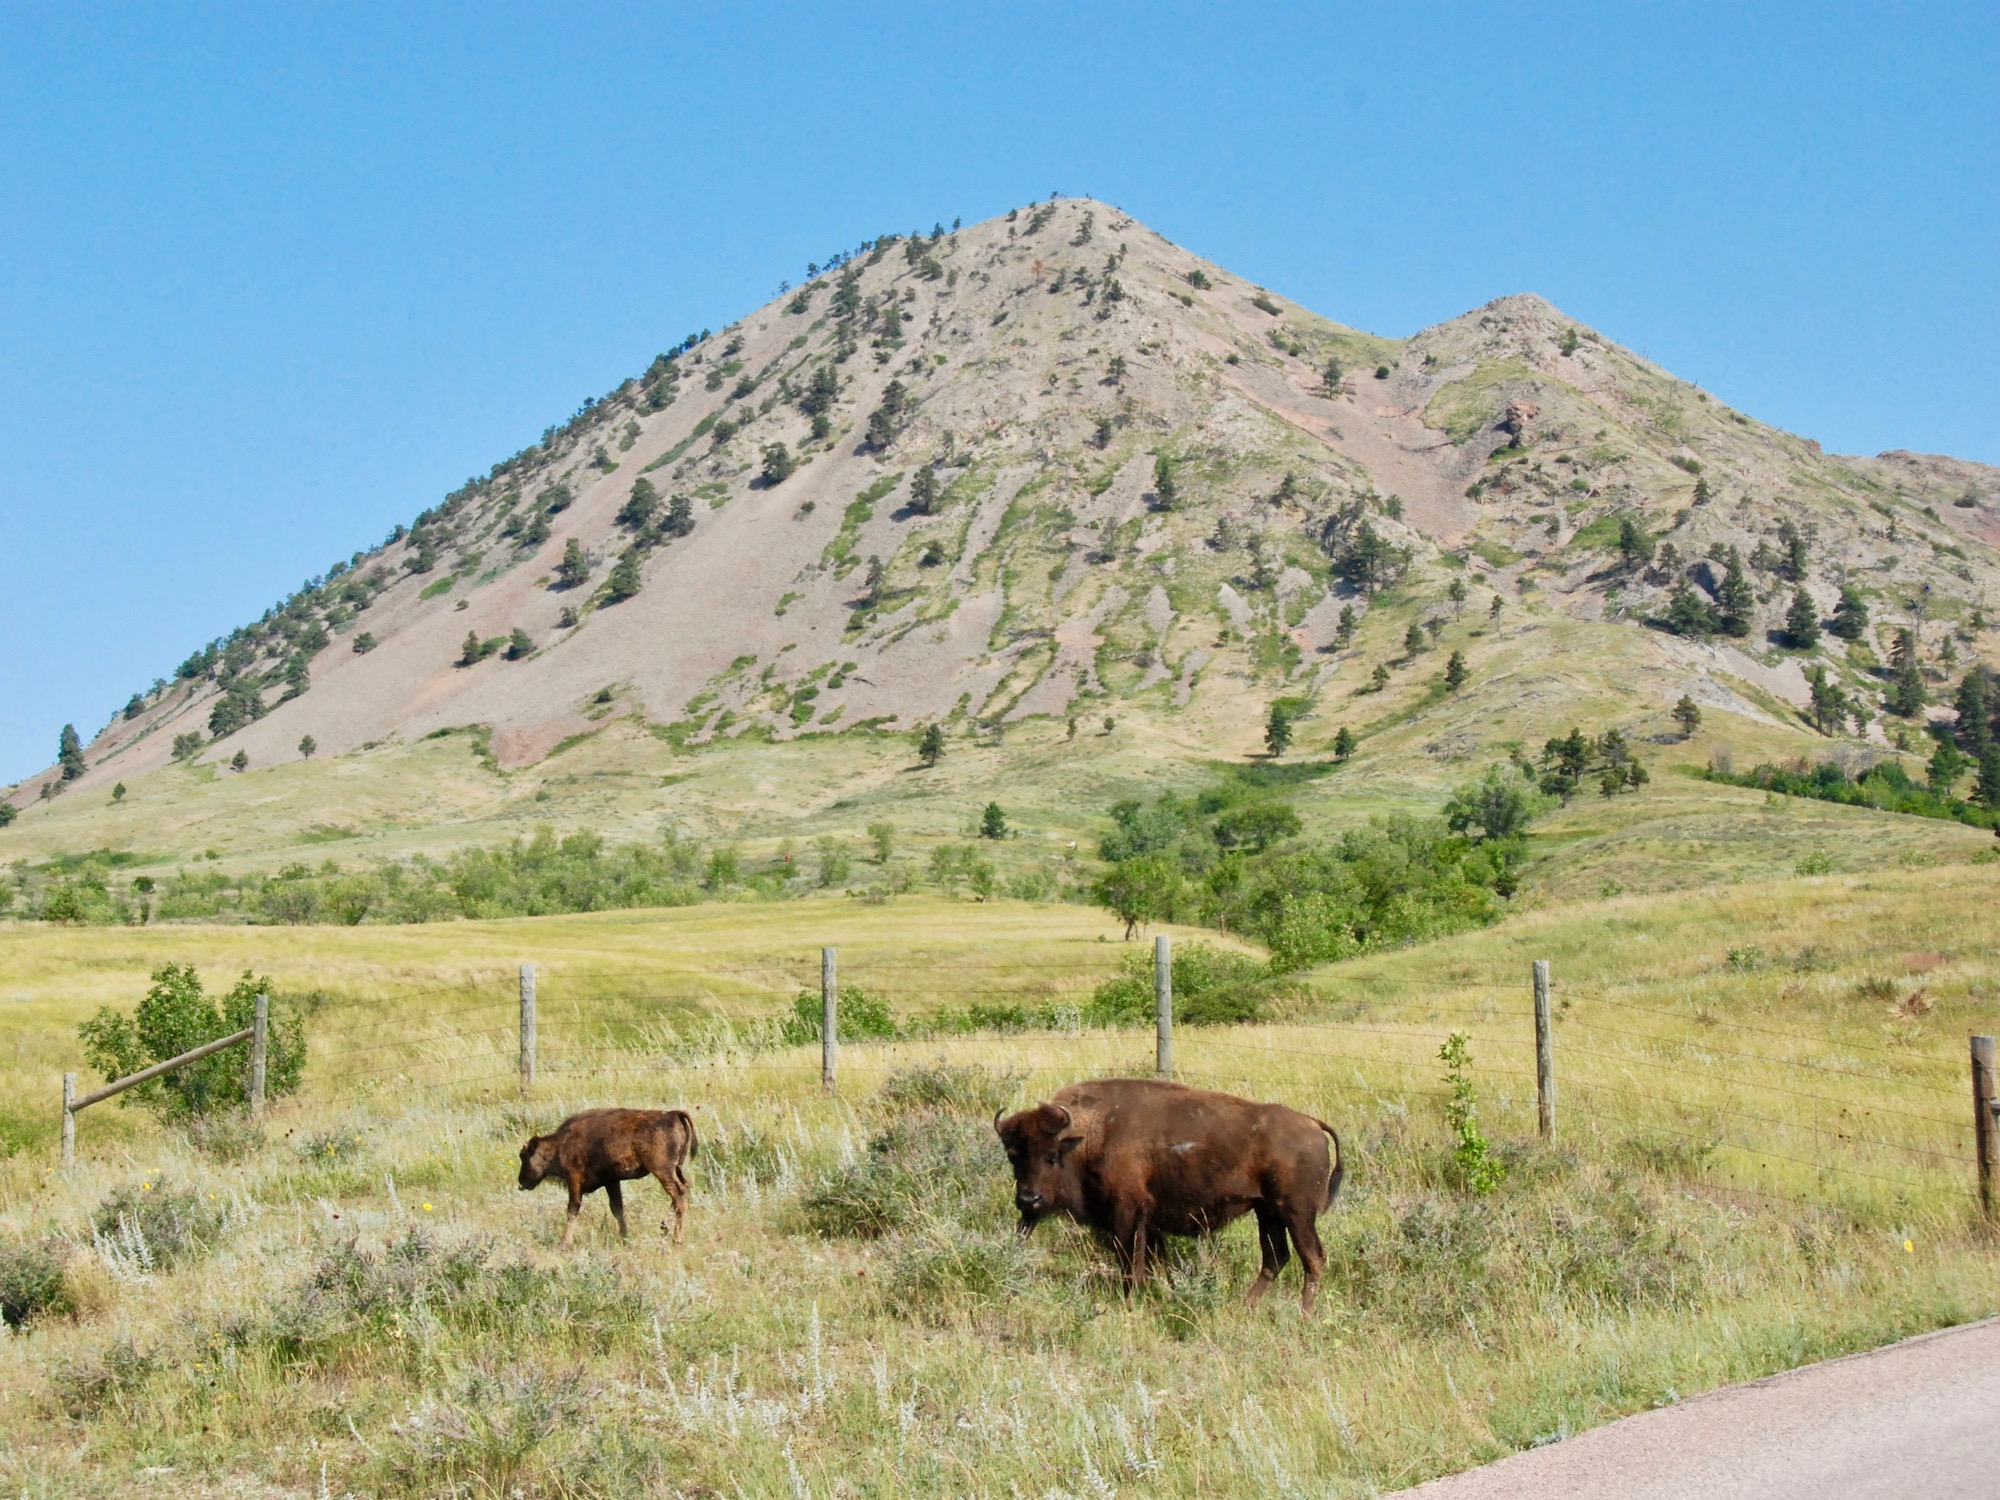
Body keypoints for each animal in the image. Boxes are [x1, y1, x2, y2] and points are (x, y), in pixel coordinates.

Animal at [520, 1112, 700, 1248]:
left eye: (524, 1157)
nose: (521, 1181)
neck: (561, 1144)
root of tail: (672, 1114)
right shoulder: (611, 1182)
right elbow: (617, 1209)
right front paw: (625, 1238)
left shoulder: (575, 1181)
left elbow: (572, 1209)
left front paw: (564, 1243)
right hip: (676, 1169)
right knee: (683, 1190)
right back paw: (664, 1227)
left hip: (662, 1171)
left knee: (678, 1194)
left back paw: (676, 1239)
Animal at [996, 1080, 1344, 1312]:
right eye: (1013, 1156)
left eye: (1052, 1156)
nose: (1029, 1200)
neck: (1090, 1135)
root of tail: (1312, 1124)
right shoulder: (1149, 1225)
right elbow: (1156, 1264)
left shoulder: (1127, 1216)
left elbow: (1131, 1264)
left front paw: (1129, 1303)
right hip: (1267, 1212)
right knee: (1276, 1257)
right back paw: (1244, 1307)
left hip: (1296, 1213)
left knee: (1312, 1257)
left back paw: (1304, 1314)